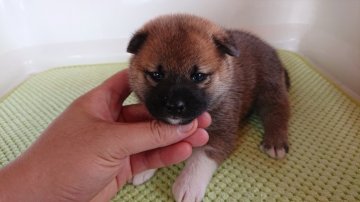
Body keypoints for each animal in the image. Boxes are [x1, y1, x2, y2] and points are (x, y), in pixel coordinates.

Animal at [126, 13, 290, 201]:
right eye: (157, 75)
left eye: (198, 76)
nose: (174, 106)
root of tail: (269, 47)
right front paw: (144, 166)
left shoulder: (221, 132)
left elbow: (201, 158)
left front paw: (188, 185)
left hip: (270, 89)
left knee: (278, 110)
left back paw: (275, 142)